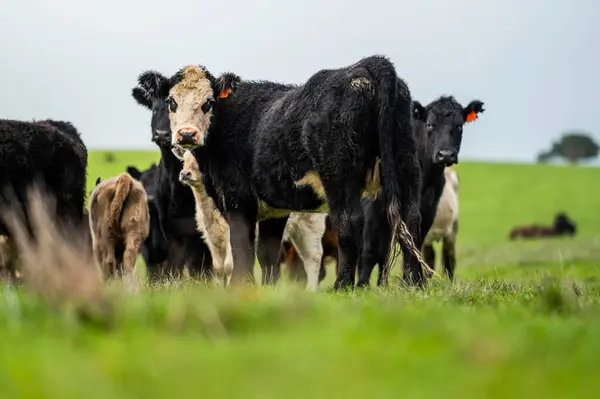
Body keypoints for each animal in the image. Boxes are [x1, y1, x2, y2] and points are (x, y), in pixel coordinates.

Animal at [173, 147, 234, 288]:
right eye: (183, 160)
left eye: (200, 159)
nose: (185, 174)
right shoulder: (211, 236)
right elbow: (218, 268)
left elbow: (229, 266)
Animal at [358, 95, 486, 286]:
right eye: (430, 124)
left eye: (459, 125)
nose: (446, 154)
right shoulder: (373, 208)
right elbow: (370, 251)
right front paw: (361, 286)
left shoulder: (427, 211)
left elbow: (413, 243)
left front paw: (414, 282)